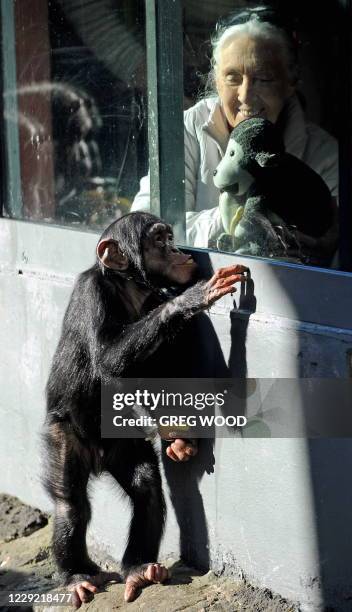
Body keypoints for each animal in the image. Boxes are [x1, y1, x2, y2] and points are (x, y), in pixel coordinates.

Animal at [43, 212, 248, 608]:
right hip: (65, 434)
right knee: (70, 505)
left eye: (168, 236)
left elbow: (161, 369)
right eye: (158, 240)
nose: (177, 249)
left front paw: (179, 434)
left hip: (123, 444)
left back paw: (139, 568)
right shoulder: (94, 294)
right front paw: (193, 297)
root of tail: (98, 458)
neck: (129, 288)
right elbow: (108, 359)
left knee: (146, 488)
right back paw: (77, 576)